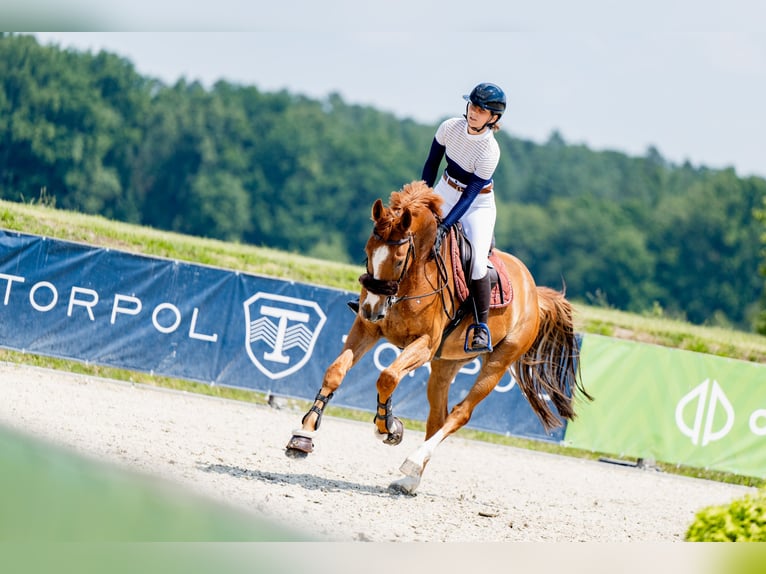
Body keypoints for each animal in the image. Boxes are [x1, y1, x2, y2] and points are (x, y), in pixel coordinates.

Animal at [288, 180, 592, 496]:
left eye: (398, 260)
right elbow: (336, 371)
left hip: (499, 360)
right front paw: (303, 436)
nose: (371, 309)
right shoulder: (367, 330)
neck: (411, 281)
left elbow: (387, 377)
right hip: (445, 364)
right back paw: (410, 480)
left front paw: (388, 428)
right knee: (437, 417)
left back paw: (413, 461)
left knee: (460, 414)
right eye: (368, 251)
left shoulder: (424, 343)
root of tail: (534, 291)